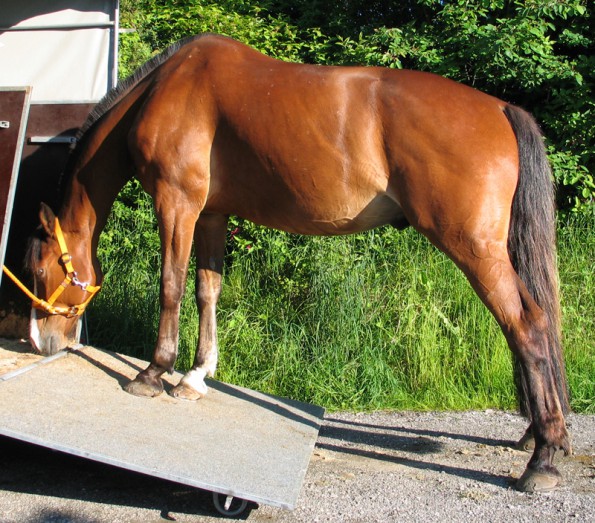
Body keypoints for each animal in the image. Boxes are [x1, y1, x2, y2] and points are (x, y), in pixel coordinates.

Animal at [24, 35, 572, 492]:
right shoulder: (212, 214)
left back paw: (542, 461)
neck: (166, 88)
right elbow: (207, 291)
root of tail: (500, 108)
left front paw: (154, 373)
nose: (43, 343)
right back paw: (541, 436)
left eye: (40, 270)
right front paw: (197, 376)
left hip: (473, 247)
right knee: (539, 323)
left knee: (527, 325)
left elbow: (171, 287)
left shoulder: (177, 204)